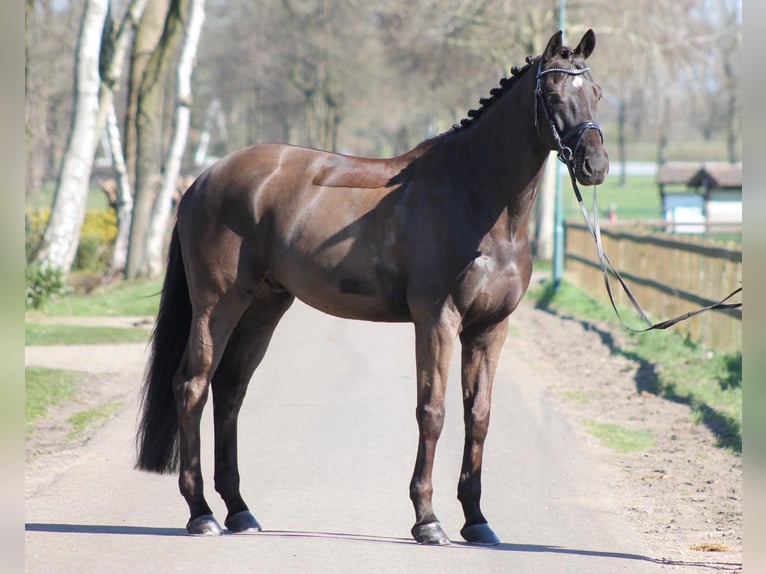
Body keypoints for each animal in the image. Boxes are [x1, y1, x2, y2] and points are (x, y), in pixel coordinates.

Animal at [136, 29, 609, 546]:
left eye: (597, 93)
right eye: (553, 95)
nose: (595, 165)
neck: (476, 199)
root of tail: (202, 179)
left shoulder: (491, 328)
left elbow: (478, 416)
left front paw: (477, 520)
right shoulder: (436, 320)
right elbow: (433, 411)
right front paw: (428, 520)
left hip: (263, 307)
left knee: (230, 389)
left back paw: (240, 510)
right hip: (217, 305)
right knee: (192, 386)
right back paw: (201, 513)